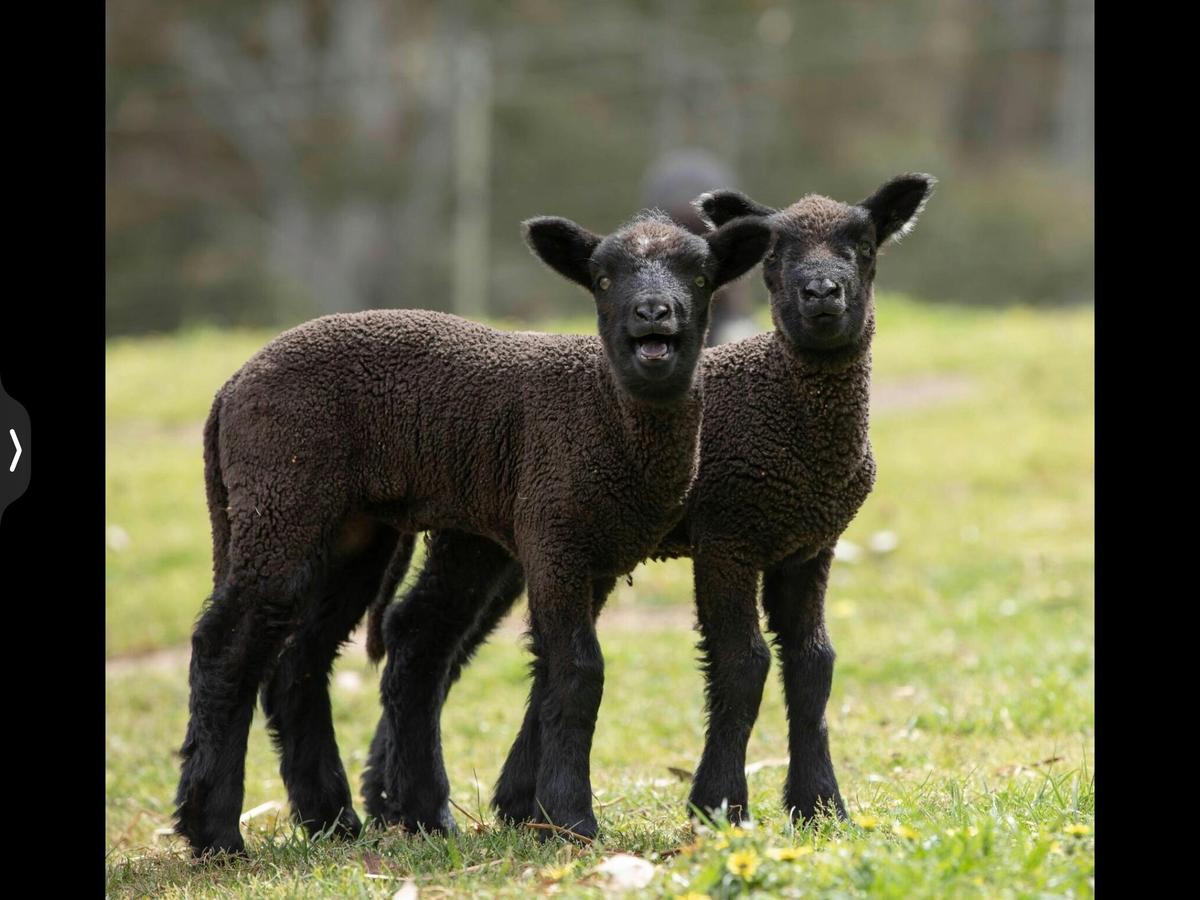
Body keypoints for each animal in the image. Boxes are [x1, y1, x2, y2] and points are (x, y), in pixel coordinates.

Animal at [172, 209, 772, 857]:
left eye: (701, 275)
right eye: (603, 279)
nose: (654, 312)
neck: (603, 409)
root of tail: (230, 388)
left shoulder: (599, 557)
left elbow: (553, 671)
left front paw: (537, 811)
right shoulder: (554, 534)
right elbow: (579, 672)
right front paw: (572, 821)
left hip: (352, 531)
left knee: (310, 656)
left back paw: (352, 819)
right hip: (283, 498)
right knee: (225, 647)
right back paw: (215, 832)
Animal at [360, 174, 936, 831]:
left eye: (864, 246)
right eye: (775, 258)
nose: (821, 293)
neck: (785, 413)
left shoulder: (809, 545)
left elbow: (814, 663)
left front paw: (820, 808)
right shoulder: (729, 535)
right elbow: (743, 662)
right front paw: (720, 805)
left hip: (485, 534)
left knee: (427, 632)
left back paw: (423, 801)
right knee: (433, 636)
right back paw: (407, 805)